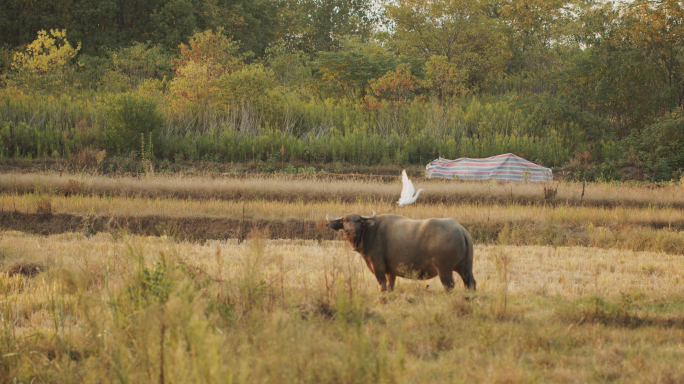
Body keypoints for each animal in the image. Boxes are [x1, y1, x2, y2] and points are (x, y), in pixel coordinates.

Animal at [326, 213, 476, 292]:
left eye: (358, 220)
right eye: (344, 220)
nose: (350, 231)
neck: (370, 232)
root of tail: (460, 229)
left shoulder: (378, 267)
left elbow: (383, 286)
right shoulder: (391, 272)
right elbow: (391, 286)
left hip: (444, 270)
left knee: (449, 286)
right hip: (465, 267)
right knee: (471, 283)